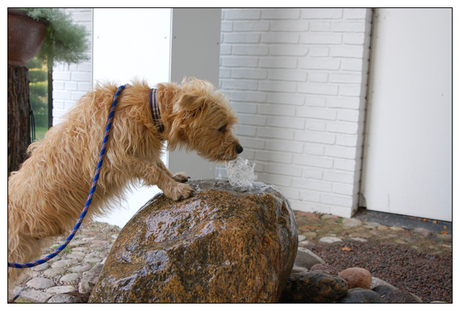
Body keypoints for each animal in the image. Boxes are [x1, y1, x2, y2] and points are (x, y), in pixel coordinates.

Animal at [8, 77, 244, 290]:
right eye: (221, 127)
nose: (240, 149)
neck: (150, 110)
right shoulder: (113, 159)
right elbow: (151, 169)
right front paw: (175, 189)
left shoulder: (139, 150)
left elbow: (158, 164)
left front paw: (173, 178)